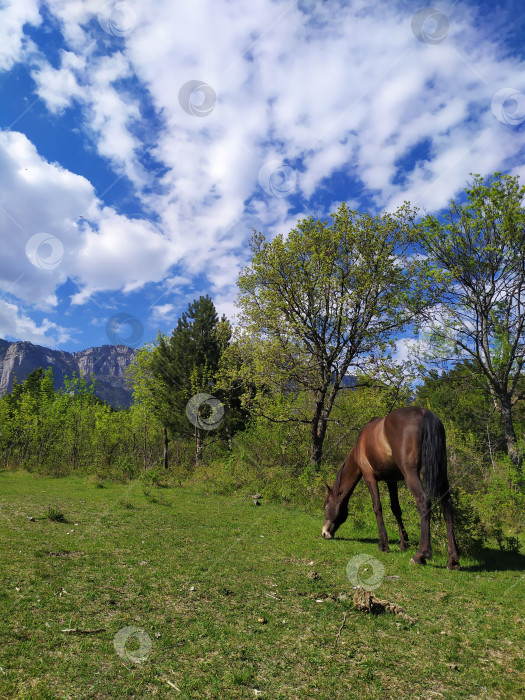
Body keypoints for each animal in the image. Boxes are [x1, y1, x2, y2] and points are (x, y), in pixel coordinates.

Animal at [322, 408, 460, 572]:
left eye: (325, 505)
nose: (325, 533)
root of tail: (425, 413)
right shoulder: (391, 480)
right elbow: (396, 509)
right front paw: (403, 543)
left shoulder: (369, 477)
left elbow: (377, 507)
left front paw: (383, 544)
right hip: (441, 472)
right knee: (446, 504)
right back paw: (453, 560)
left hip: (410, 473)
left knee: (423, 501)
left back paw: (421, 555)